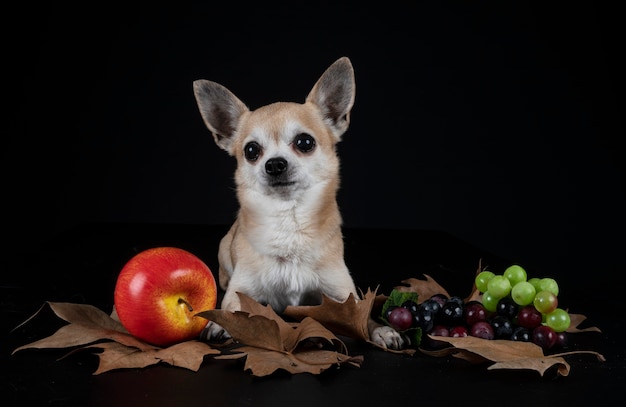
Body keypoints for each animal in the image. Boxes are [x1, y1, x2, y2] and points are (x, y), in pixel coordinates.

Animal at [191, 57, 404, 350]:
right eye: (251, 151)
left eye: (305, 142)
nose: (274, 164)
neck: (288, 220)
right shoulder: (240, 290)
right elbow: (230, 307)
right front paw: (218, 323)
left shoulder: (343, 295)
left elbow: (362, 316)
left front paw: (381, 330)